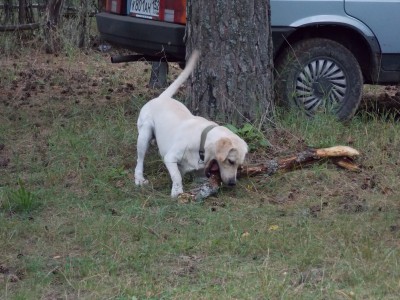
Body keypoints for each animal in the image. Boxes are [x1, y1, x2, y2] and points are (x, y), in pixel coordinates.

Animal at [134, 51, 247, 197]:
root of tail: (161, 97)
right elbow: (177, 176)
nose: (233, 183)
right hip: (144, 134)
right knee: (140, 160)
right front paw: (177, 191)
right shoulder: (170, 158)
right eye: (230, 161)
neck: (202, 141)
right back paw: (139, 178)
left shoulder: (200, 172)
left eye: (239, 165)